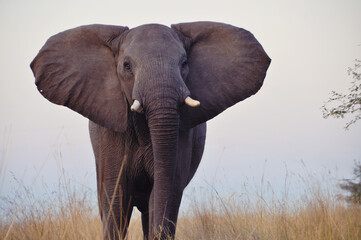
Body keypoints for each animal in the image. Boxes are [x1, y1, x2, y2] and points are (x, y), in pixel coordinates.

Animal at [31, 21, 268, 239]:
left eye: (184, 63)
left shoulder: (182, 136)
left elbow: (166, 193)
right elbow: (116, 196)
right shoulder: (109, 136)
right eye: (127, 66)